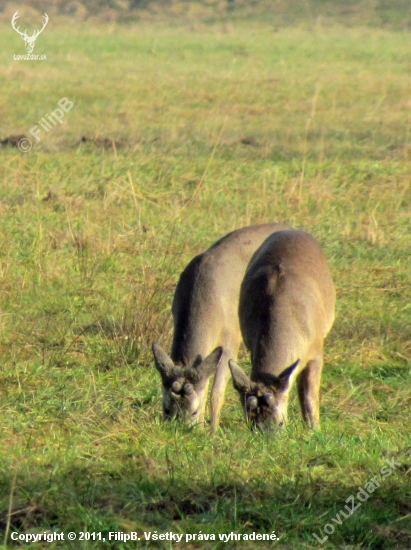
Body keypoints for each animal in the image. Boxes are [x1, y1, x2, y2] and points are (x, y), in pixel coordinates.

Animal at [151, 223, 290, 432]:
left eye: (194, 411)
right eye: (166, 409)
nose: (180, 433)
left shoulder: (231, 339)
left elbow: (217, 392)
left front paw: (213, 432)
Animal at [230, 231, 336, 434]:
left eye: (280, 422)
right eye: (251, 423)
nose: (270, 437)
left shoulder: (316, 350)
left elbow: (310, 394)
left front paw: (314, 430)